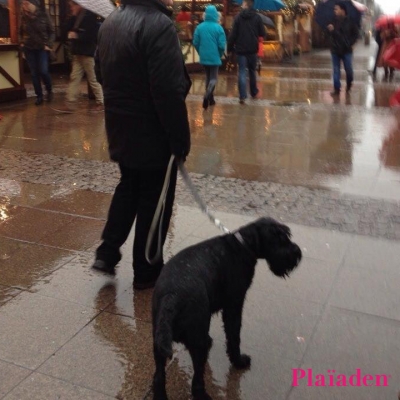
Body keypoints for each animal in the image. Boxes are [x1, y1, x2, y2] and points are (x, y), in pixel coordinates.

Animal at [152, 217, 302, 398]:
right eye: (279, 237)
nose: (297, 253)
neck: (243, 246)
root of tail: (171, 297)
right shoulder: (234, 305)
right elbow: (234, 336)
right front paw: (238, 360)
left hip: (158, 343)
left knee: (159, 377)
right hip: (196, 345)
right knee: (197, 380)